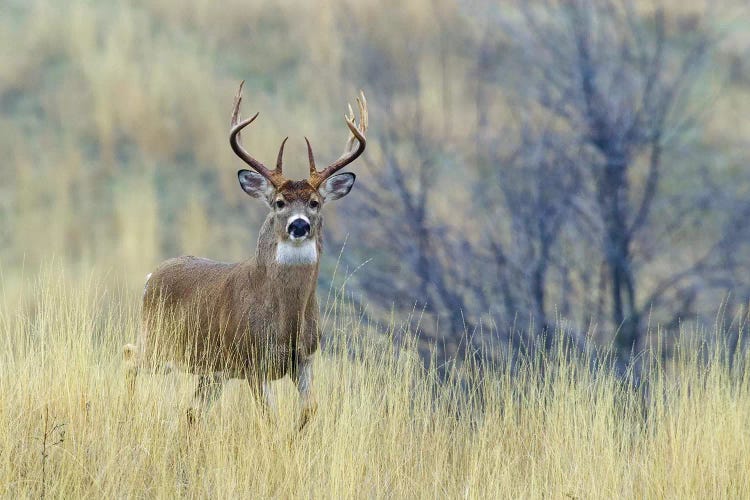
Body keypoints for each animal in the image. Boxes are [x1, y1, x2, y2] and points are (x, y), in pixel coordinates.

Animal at [125, 82, 368, 430]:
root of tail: (150, 276)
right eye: (279, 202)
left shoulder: (305, 359)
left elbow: (310, 409)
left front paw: (295, 435)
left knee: (191, 411)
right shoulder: (252, 361)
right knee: (129, 355)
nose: (299, 225)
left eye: (315, 202)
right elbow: (270, 419)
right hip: (160, 343)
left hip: (210, 369)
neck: (286, 319)